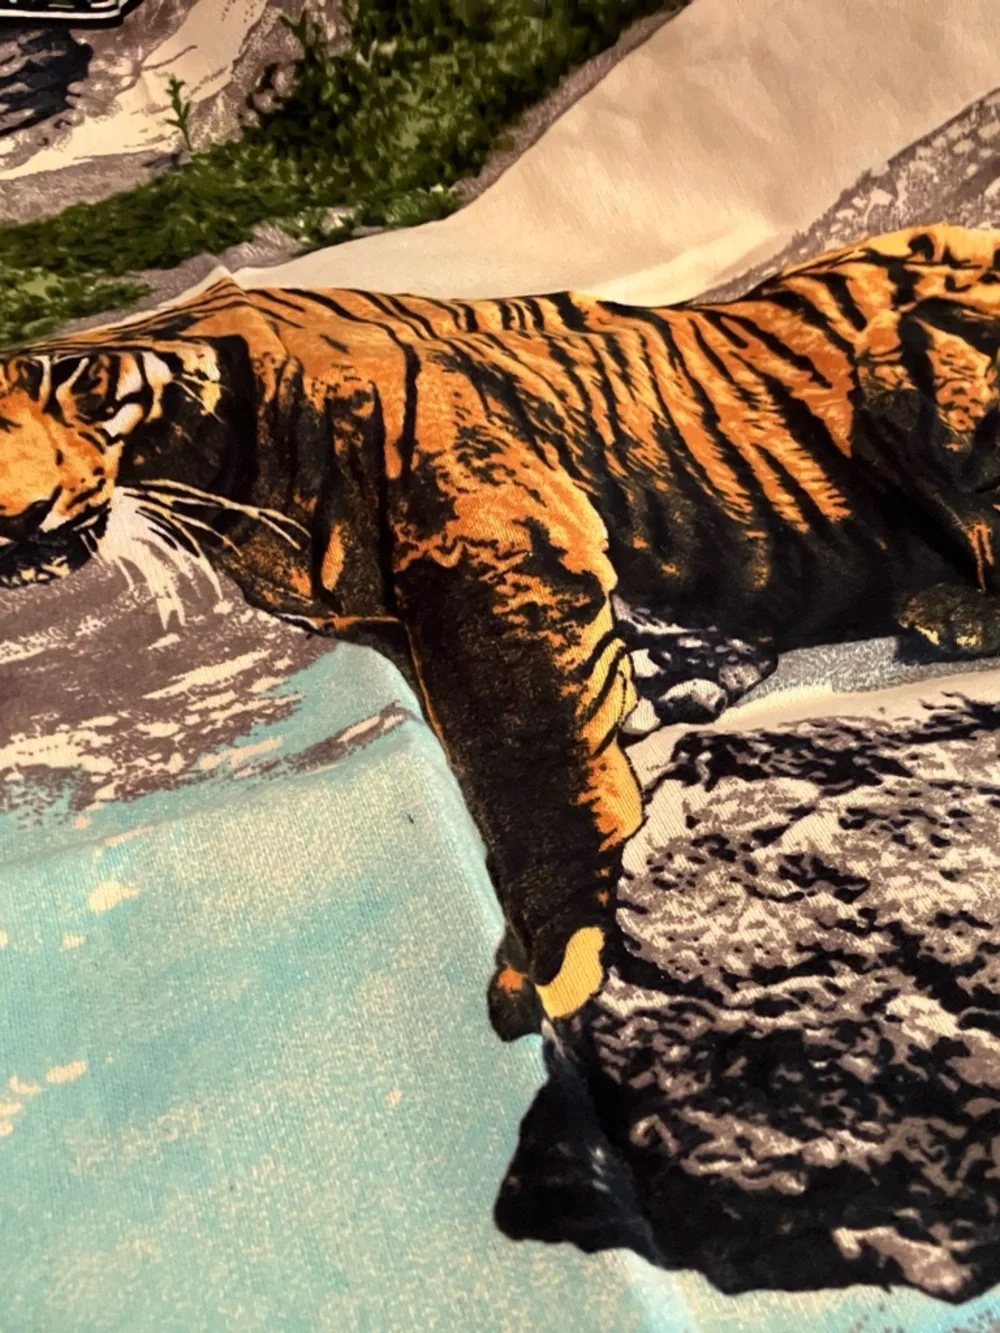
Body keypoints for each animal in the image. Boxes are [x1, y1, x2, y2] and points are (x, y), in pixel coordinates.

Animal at [2, 222, 1000, 1041]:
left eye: (78, 388)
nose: (15, 523)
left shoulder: (483, 539)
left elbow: (521, 748)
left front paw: (554, 958)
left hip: (904, 344)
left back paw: (948, 614)